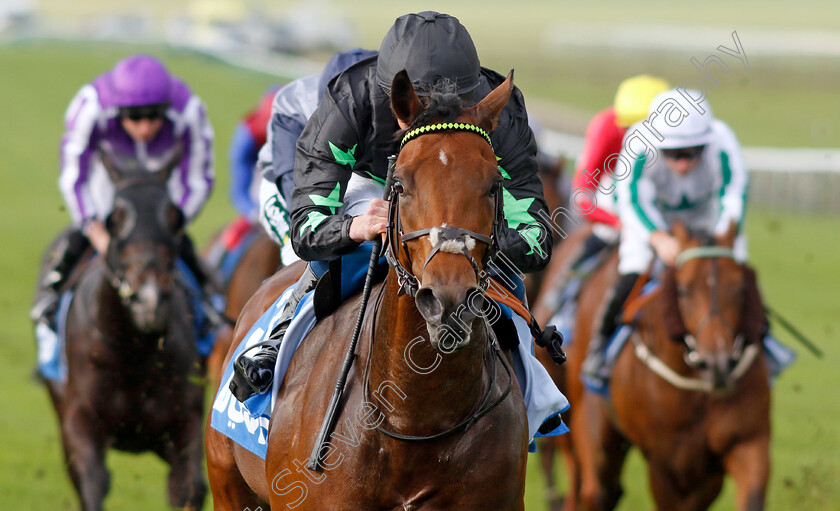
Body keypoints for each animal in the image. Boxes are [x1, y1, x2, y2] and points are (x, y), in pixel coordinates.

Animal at [44, 149, 208, 511]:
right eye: (113, 219)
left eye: (175, 218)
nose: (148, 298)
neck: (133, 353)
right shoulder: (79, 424)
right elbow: (92, 483)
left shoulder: (185, 425)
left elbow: (189, 487)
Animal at [560, 225, 772, 511]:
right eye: (683, 290)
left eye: (740, 289)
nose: (718, 364)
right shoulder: (666, 464)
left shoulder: (744, 445)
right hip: (590, 422)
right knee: (595, 490)